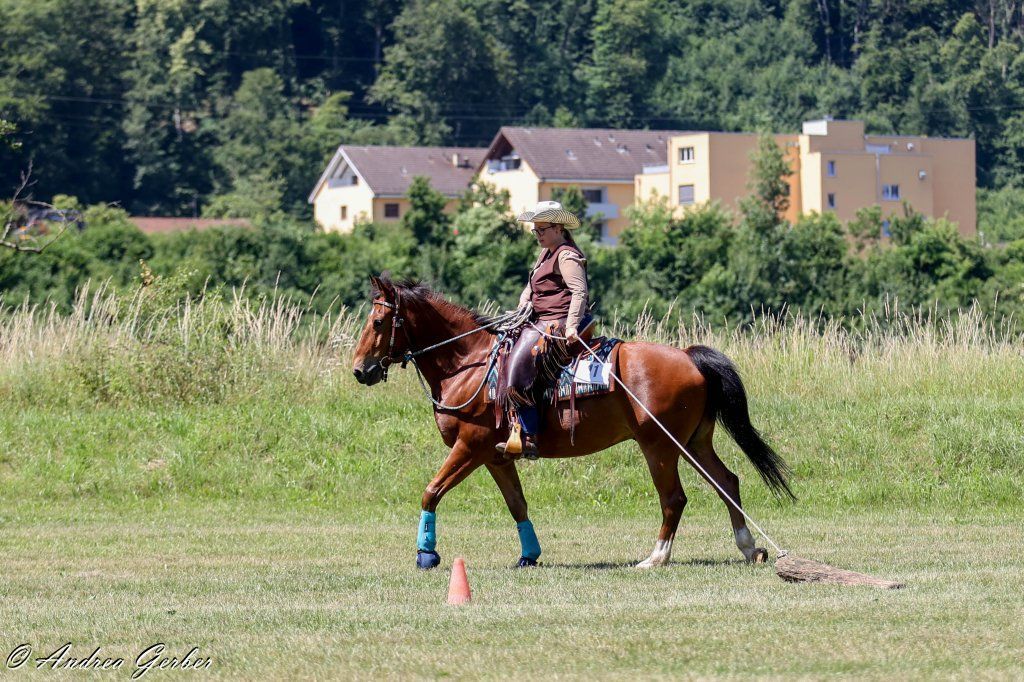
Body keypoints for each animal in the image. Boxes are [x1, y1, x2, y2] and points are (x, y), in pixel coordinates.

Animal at [352, 274, 794, 570]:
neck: (470, 365)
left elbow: (431, 492)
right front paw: (529, 555)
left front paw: (426, 554)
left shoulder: (470, 447)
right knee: (727, 482)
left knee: (674, 499)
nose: (360, 370)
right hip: (694, 441)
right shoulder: (496, 456)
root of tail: (688, 356)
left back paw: (655, 558)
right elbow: (517, 503)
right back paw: (749, 547)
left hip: (660, 446)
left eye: (378, 323)